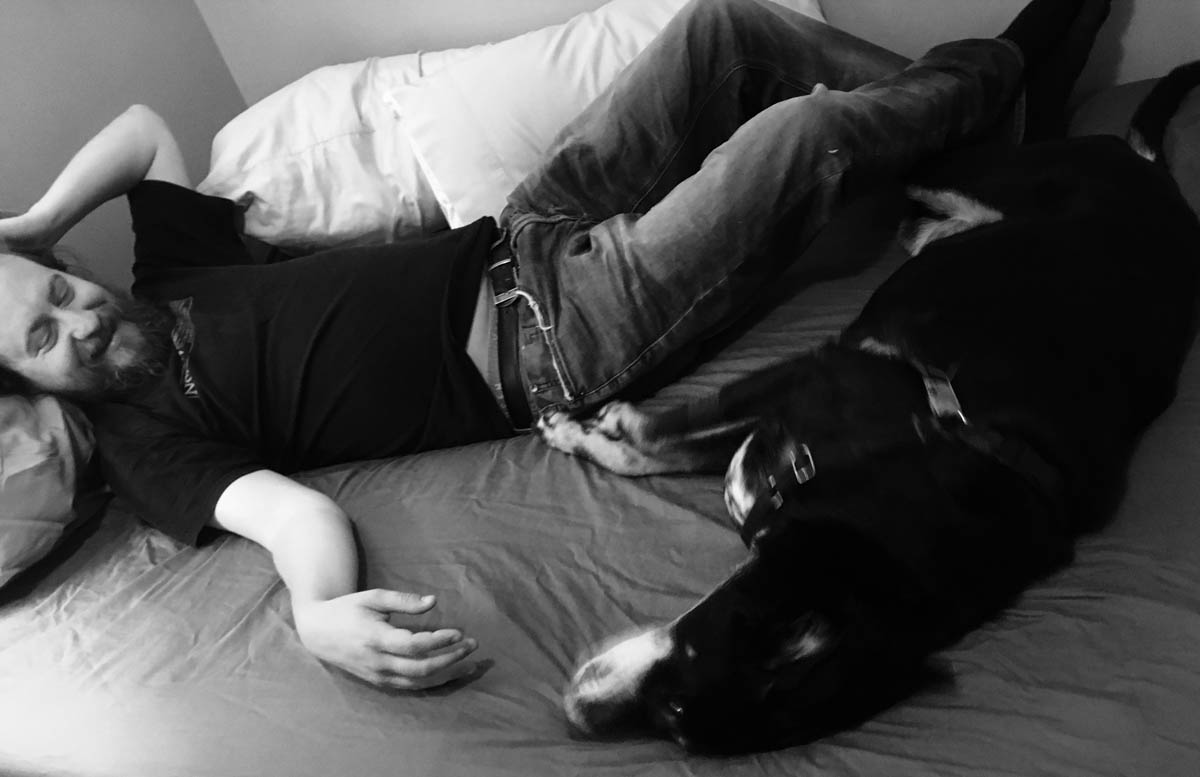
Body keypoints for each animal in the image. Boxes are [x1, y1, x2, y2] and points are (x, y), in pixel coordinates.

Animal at [540, 66, 1200, 753]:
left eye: (676, 724)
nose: (576, 717)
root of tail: (1153, 171)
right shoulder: (810, 373)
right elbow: (661, 437)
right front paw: (593, 430)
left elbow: (664, 447)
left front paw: (591, 435)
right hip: (961, 171)